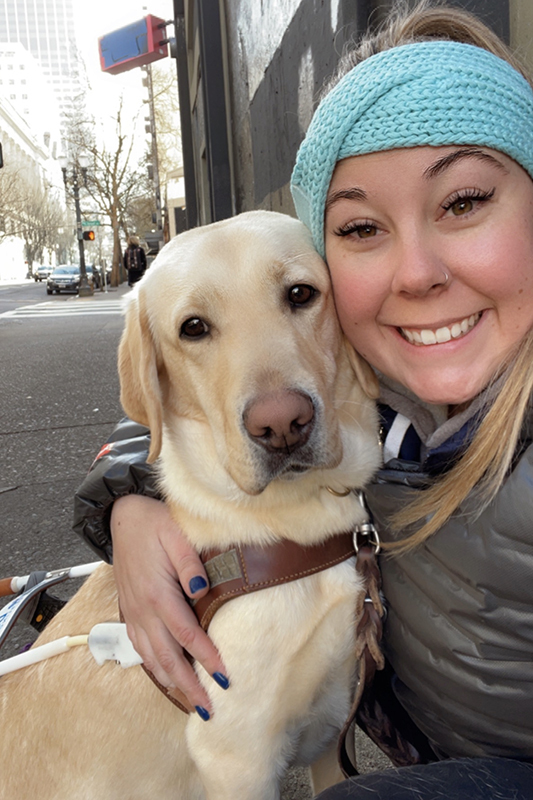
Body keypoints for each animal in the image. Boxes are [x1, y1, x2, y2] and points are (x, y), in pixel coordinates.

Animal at [2, 209, 380, 796]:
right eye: (193, 328)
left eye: (301, 293)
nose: (282, 425)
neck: (293, 527)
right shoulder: (238, 758)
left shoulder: (334, 725)